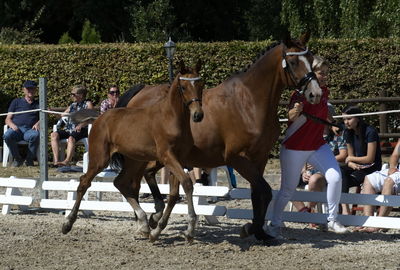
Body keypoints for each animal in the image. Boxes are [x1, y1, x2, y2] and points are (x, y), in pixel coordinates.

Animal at [62, 60, 206, 242]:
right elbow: (187, 183)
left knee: (121, 182)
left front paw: (160, 226)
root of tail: (100, 117)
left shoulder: (178, 159)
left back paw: (144, 222)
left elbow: (175, 192)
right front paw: (189, 228)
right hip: (100, 159)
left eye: (201, 84)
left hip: (135, 161)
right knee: (84, 182)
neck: (171, 118)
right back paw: (67, 223)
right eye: (183, 87)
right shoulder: (167, 156)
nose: (198, 115)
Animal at [119, 32, 322, 242]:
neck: (249, 102)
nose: (315, 94)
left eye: (310, 59)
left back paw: (152, 219)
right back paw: (146, 222)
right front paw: (251, 229)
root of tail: (139, 93)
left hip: (161, 158)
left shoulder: (260, 157)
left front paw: (258, 231)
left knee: (144, 177)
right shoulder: (236, 157)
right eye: (292, 61)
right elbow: (265, 191)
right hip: (142, 157)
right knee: (131, 183)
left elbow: (257, 193)